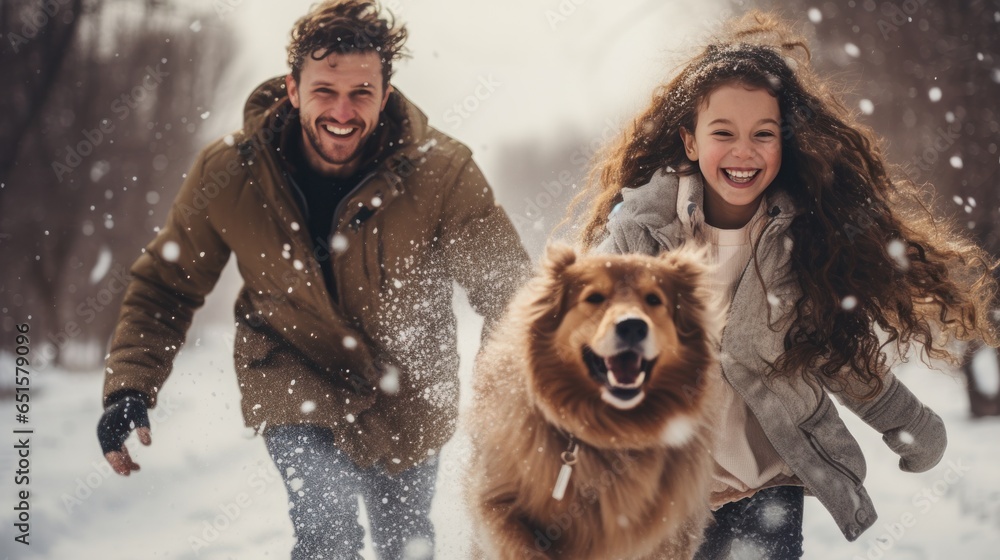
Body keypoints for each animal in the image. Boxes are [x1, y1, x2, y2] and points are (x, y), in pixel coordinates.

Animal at [464, 245, 724, 560]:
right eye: (595, 297)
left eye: (653, 299)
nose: (632, 327)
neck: (609, 435)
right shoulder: (496, 498)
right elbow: (520, 542)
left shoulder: (670, 536)